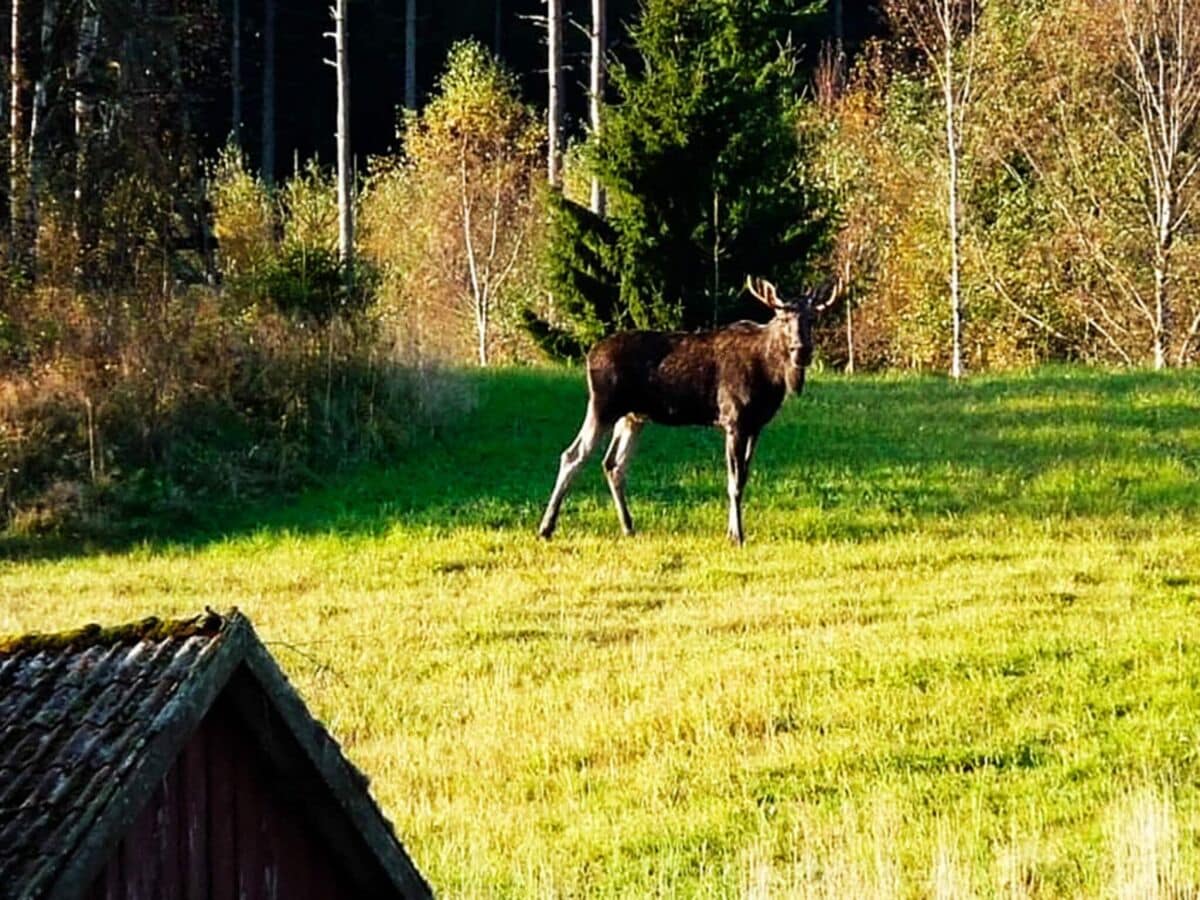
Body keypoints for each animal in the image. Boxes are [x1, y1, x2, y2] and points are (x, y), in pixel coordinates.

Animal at [537, 274, 835, 547]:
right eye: (783, 319)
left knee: (613, 463)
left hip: (633, 416)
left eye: (812, 319)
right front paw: (737, 536)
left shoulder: (756, 426)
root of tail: (590, 355)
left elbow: (742, 479)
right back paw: (546, 528)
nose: (802, 350)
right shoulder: (734, 421)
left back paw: (628, 527)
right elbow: (733, 482)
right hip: (603, 405)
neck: (772, 377)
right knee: (573, 455)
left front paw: (733, 531)